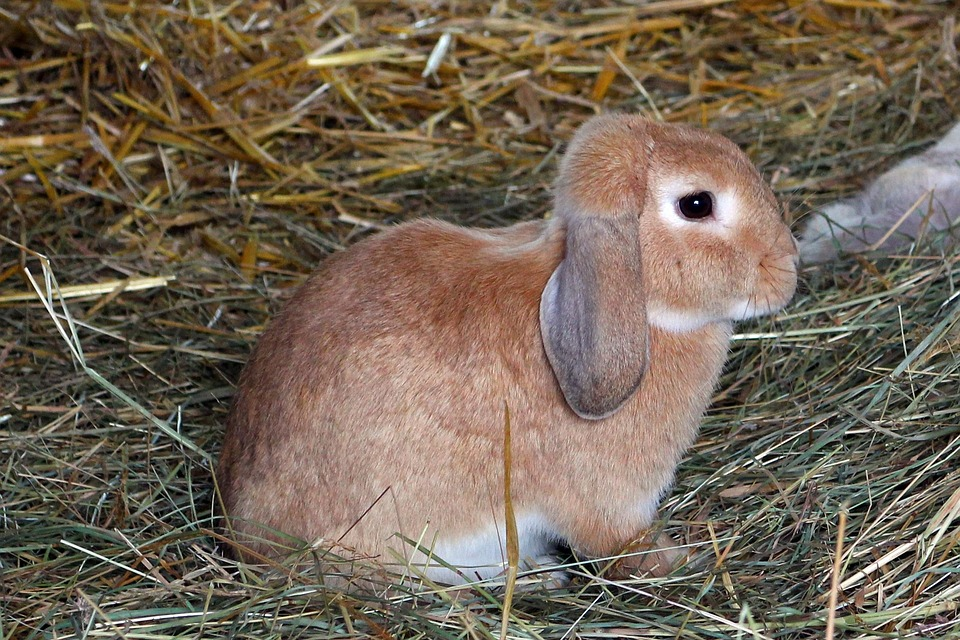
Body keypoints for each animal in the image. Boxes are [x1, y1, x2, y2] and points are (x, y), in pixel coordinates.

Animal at [216, 113, 799, 587]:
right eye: (697, 204)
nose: (788, 267)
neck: (643, 308)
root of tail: (246, 535)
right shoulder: (608, 504)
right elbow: (620, 549)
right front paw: (680, 561)